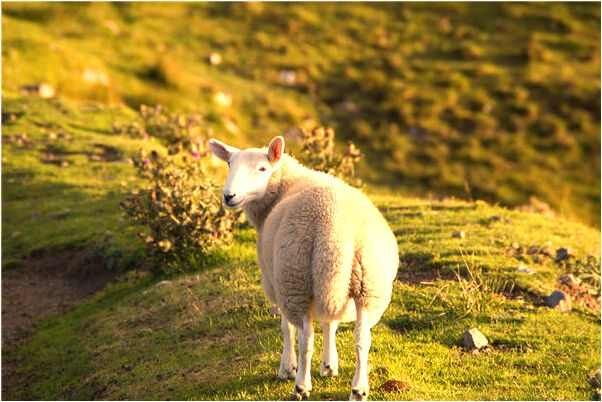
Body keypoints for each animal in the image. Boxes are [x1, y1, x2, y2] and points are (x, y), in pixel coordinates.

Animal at [209, 137, 396, 400]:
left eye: (262, 169)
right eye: (228, 165)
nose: (228, 196)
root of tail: (335, 227)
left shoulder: (276, 282)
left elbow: (286, 327)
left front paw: (288, 368)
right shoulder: (326, 283)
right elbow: (330, 324)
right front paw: (329, 365)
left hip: (294, 277)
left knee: (305, 337)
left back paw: (301, 385)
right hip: (366, 283)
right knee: (362, 336)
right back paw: (359, 388)